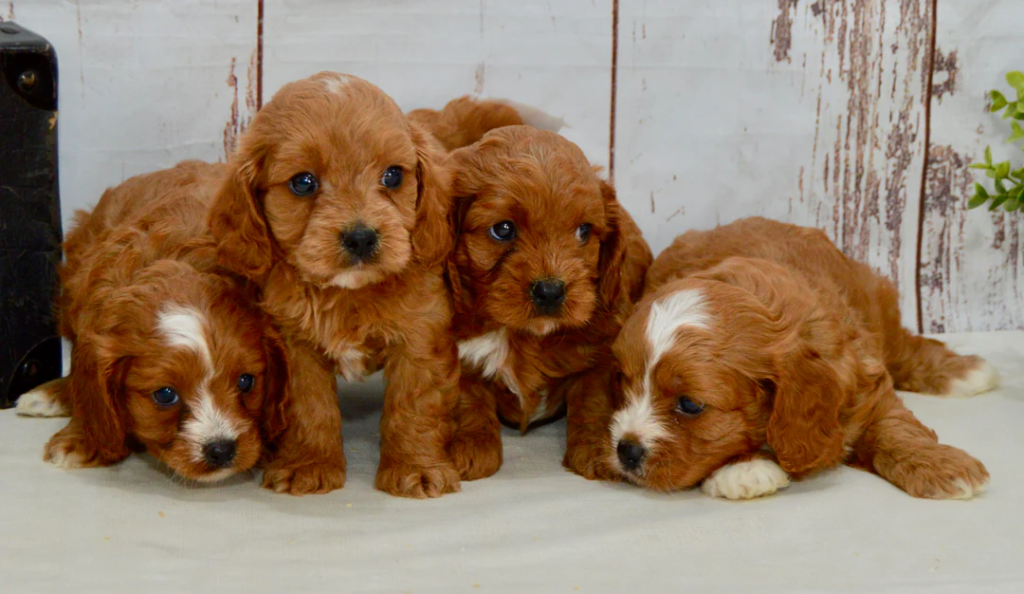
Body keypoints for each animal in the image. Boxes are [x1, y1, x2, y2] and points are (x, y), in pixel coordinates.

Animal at [207, 70, 460, 495]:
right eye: (303, 183)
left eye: (393, 175)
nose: (361, 237)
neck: (348, 293)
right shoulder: (294, 345)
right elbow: (309, 406)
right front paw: (308, 465)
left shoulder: (421, 337)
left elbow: (414, 404)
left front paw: (415, 468)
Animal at [602, 216, 995, 499]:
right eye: (624, 382)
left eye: (690, 405)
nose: (627, 451)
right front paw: (746, 469)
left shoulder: (864, 384)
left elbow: (895, 426)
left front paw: (940, 465)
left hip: (873, 299)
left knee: (903, 347)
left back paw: (964, 371)